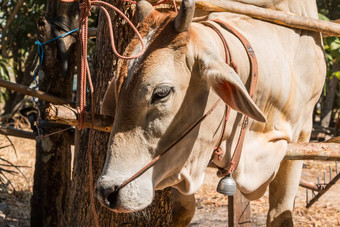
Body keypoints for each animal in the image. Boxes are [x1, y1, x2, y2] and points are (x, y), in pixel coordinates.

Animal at [97, 0, 326, 225]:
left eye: (161, 93)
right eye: (116, 90)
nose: (107, 192)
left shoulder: (301, 139)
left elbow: (281, 214)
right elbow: (183, 209)